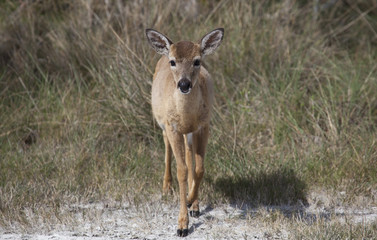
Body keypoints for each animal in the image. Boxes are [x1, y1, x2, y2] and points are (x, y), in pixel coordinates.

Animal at [145, 28, 223, 236]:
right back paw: (166, 187)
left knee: (190, 158)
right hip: (163, 123)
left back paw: (194, 205)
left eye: (197, 61)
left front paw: (191, 201)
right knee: (167, 149)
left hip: (189, 133)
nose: (184, 84)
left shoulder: (203, 126)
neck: (187, 116)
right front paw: (182, 225)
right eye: (173, 61)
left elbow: (199, 168)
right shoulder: (173, 126)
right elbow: (182, 170)